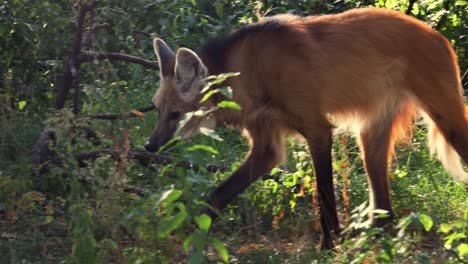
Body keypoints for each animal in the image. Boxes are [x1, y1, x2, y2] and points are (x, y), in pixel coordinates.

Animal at [144, 7, 466, 249]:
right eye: (158, 109)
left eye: (175, 114)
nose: (149, 146)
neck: (249, 71)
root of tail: (437, 34)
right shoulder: (267, 145)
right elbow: (216, 196)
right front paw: (184, 231)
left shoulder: (318, 129)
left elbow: (324, 195)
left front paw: (329, 245)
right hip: (370, 137)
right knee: (385, 209)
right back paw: (372, 241)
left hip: (448, 119)